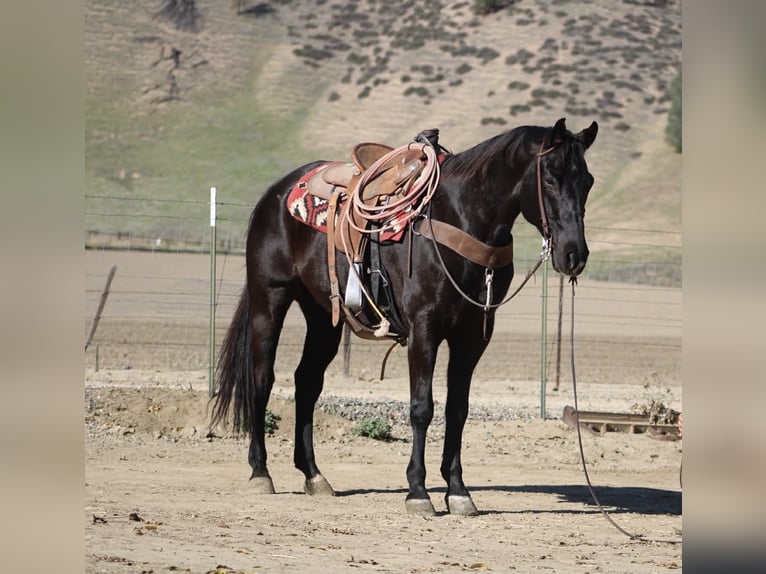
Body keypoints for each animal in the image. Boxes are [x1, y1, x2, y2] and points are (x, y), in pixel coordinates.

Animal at [212, 117, 598, 516]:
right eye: (549, 178)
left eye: (587, 181)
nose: (574, 254)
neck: (461, 216)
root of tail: (277, 192)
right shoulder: (423, 328)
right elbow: (422, 407)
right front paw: (418, 491)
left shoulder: (473, 336)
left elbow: (458, 409)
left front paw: (458, 491)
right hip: (269, 299)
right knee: (262, 378)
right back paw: (260, 471)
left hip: (322, 316)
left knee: (307, 382)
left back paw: (314, 475)